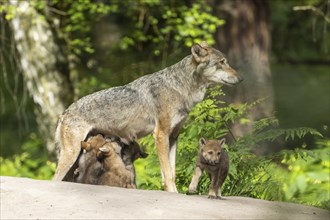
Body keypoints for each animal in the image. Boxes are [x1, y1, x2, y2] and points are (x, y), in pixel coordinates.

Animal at [52, 41, 241, 192]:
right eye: (221, 63)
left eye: (226, 62)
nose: (240, 79)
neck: (180, 87)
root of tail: (64, 112)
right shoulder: (161, 135)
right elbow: (169, 175)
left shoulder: (173, 137)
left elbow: (170, 173)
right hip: (71, 155)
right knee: (54, 179)